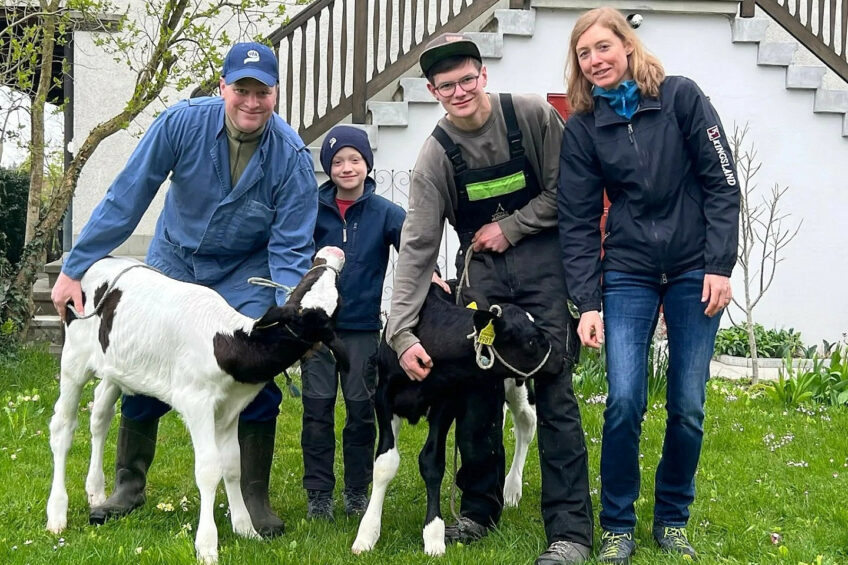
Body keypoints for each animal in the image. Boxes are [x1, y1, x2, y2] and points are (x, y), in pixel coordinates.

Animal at [45, 247, 344, 564]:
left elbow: (233, 464)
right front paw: (207, 545)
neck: (228, 342)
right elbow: (209, 468)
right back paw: (57, 513)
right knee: (63, 427)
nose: (331, 252)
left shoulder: (230, 409)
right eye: (308, 281)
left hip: (117, 367)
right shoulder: (197, 402)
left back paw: (96, 491)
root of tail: (107, 258)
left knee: (100, 414)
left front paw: (245, 527)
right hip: (74, 360)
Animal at [352, 282, 556, 556]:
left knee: (526, 423)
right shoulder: (383, 399)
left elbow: (432, 462)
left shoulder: (444, 403)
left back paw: (512, 488)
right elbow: (385, 463)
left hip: (518, 383)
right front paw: (367, 533)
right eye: (533, 341)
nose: (563, 359)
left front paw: (433, 535)